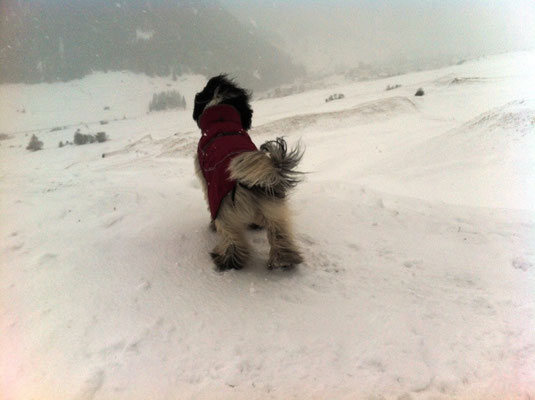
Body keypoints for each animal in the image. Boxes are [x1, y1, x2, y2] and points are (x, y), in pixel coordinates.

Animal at [193, 74, 304, 272]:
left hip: (225, 212)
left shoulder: (207, 184)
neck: (221, 121)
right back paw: (284, 259)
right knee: (279, 232)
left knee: (232, 239)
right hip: (273, 205)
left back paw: (227, 260)